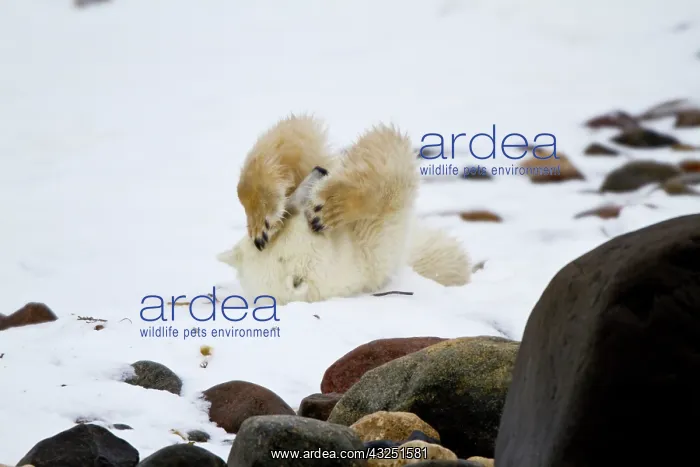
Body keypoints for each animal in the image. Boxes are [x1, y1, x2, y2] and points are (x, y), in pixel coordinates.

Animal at [218, 120, 471, 305]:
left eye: (288, 212)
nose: (320, 171)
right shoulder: (372, 247)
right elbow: (391, 160)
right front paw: (329, 207)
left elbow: (296, 138)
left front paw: (263, 220)